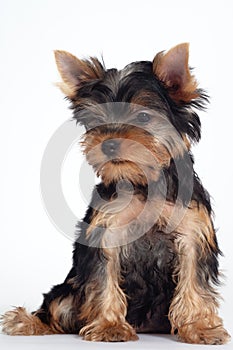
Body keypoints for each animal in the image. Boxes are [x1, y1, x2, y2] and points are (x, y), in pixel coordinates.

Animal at [0, 43, 230, 344]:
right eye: (96, 120)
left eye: (143, 116)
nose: (108, 144)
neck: (143, 181)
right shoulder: (106, 230)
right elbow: (104, 280)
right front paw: (110, 326)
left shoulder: (192, 232)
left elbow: (195, 280)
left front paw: (200, 327)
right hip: (68, 292)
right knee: (56, 308)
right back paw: (26, 322)